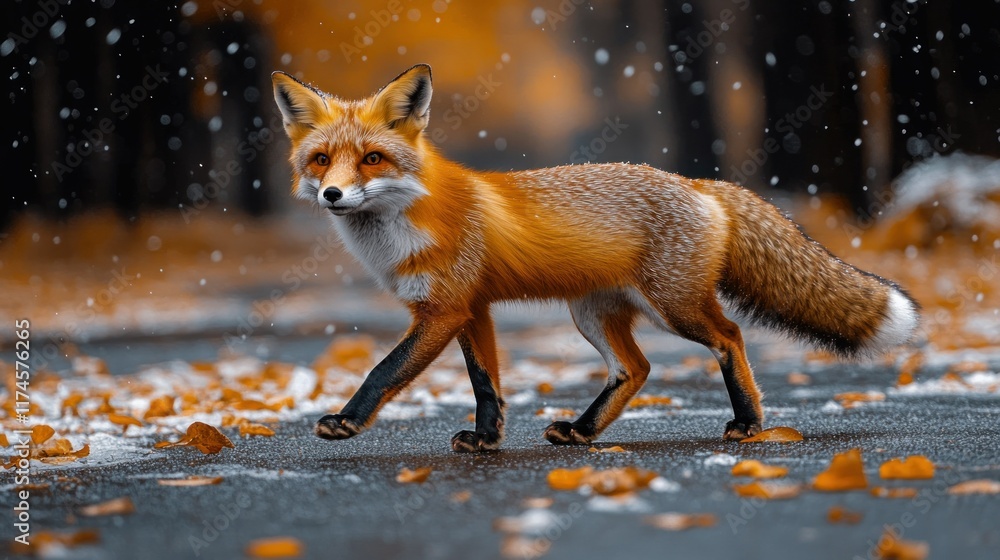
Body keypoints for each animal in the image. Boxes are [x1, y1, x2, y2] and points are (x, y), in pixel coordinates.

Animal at [271, 64, 919, 452]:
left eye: (373, 159)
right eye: (321, 160)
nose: (333, 195)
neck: (407, 221)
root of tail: (700, 183)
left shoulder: (443, 310)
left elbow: (385, 369)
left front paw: (345, 422)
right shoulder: (469, 309)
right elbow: (486, 384)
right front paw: (487, 441)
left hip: (674, 307)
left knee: (730, 337)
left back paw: (748, 423)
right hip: (592, 315)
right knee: (636, 368)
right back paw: (582, 431)